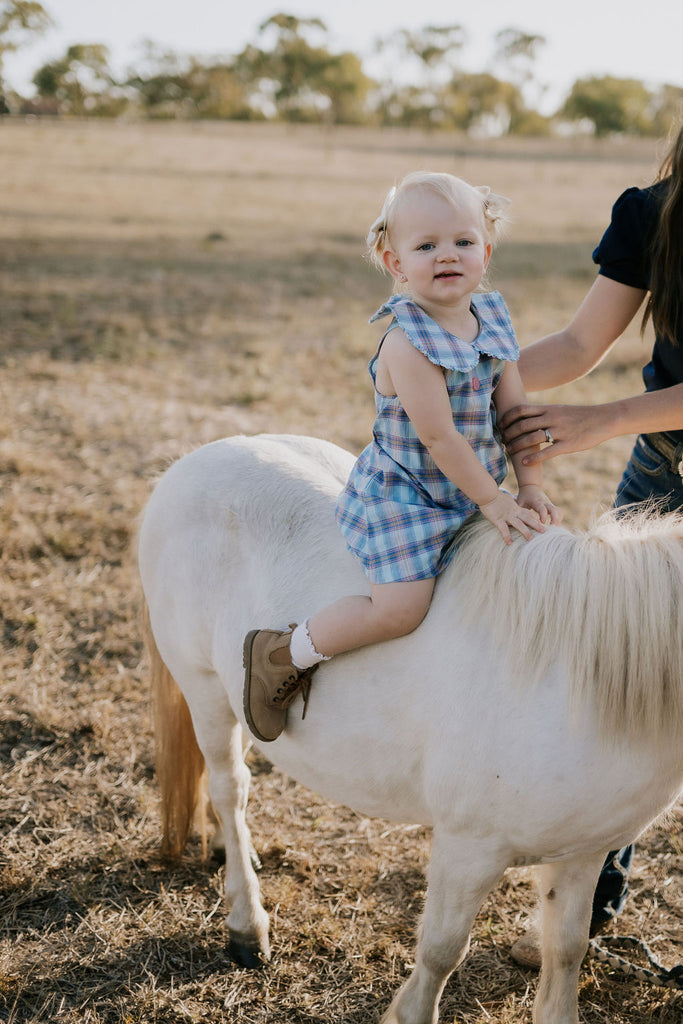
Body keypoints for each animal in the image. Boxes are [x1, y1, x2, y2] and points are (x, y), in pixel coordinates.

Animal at [139, 434, 683, 1024]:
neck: (583, 678)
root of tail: (193, 461)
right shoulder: (468, 847)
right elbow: (443, 949)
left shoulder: (583, 854)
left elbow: (566, 950)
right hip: (203, 686)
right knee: (229, 786)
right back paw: (246, 922)